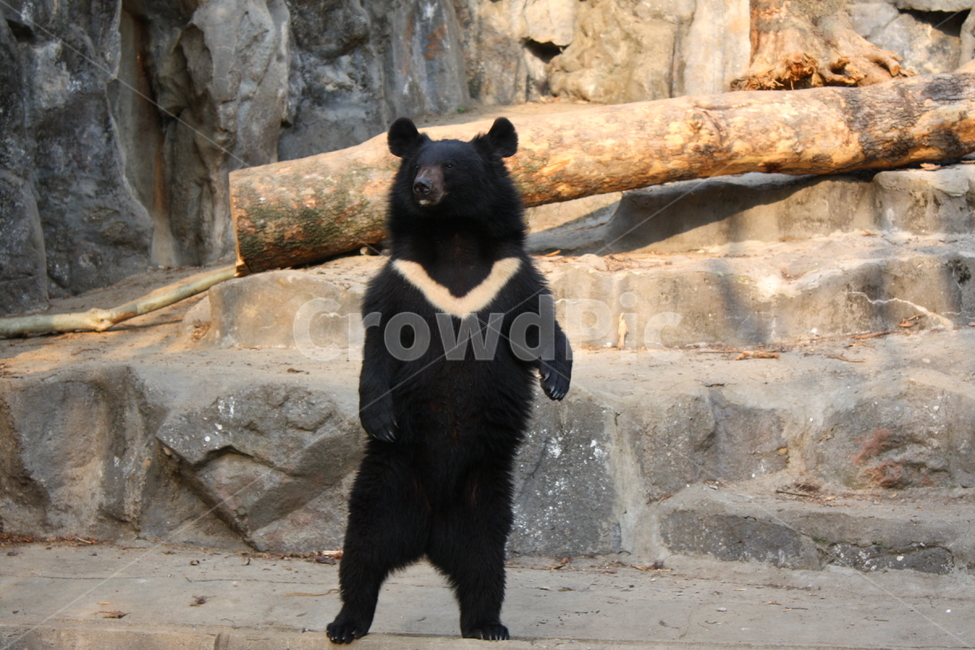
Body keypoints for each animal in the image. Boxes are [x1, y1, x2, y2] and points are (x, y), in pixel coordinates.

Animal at [325, 117, 572, 644]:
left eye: (452, 167)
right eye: (418, 165)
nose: (422, 187)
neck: (454, 235)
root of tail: (429, 534)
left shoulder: (510, 277)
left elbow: (540, 324)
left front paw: (556, 382)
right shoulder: (403, 280)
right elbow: (379, 345)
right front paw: (379, 419)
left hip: (484, 497)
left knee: (484, 564)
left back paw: (487, 625)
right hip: (387, 481)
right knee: (362, 551)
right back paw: (345, 623)